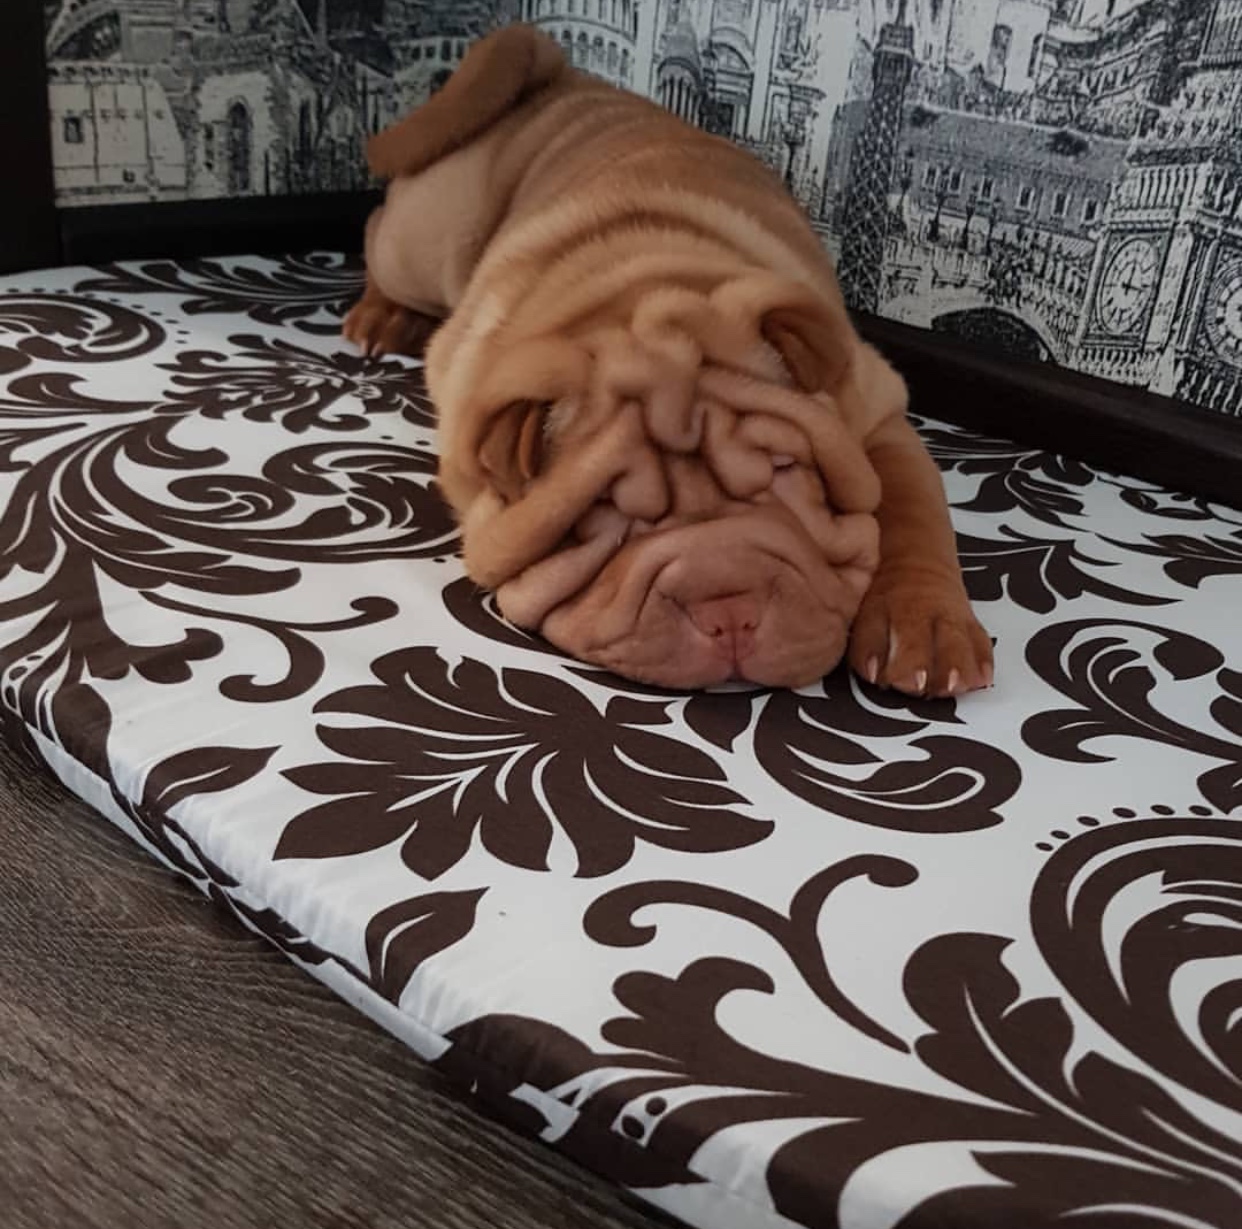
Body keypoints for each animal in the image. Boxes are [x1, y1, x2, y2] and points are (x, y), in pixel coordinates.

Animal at [345, 24, 993, 695]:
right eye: (602, 512)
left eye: (788, 469)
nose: (729, 610)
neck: (646, 286)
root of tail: (563, 77)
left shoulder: (876, 410)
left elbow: (914, 514)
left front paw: (923, 633)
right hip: (426, 238)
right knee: (377, 227)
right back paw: (381, 318)